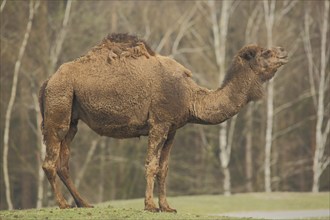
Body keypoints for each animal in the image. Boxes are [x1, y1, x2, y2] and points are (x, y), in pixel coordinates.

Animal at [38, 32, 286, 211]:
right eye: (265, 52)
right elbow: (152, 164)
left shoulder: (173, 128)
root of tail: (49, 80)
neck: (190, 96)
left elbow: (164, 168)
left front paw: (167, 206)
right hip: (59, 103)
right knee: (50, 160)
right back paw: (63, 204)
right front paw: (150, 206)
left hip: (72, 118)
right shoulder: (159, 123)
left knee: (63, 161)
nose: (283, 50)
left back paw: (83, 203)